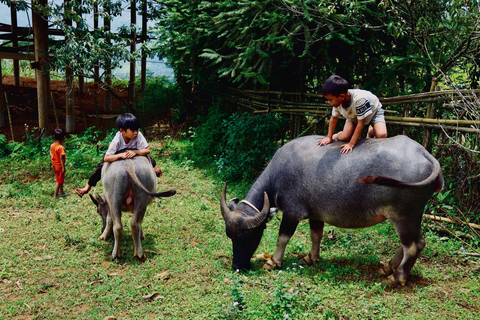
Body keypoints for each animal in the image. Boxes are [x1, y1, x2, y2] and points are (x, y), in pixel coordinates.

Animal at [220, 134, 442, 284]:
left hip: (404, 215)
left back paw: (397, 277)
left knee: (414, 245)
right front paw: (311, 257)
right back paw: (388, 267)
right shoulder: (315, 213)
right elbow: (316, 235)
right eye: (229, 236)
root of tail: (426, 155)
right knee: (409, 244)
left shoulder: (292, 213)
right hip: (409, 216)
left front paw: (273, 262)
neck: (278, 176)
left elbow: (283, 238)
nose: (237, 266)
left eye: (246, 237)